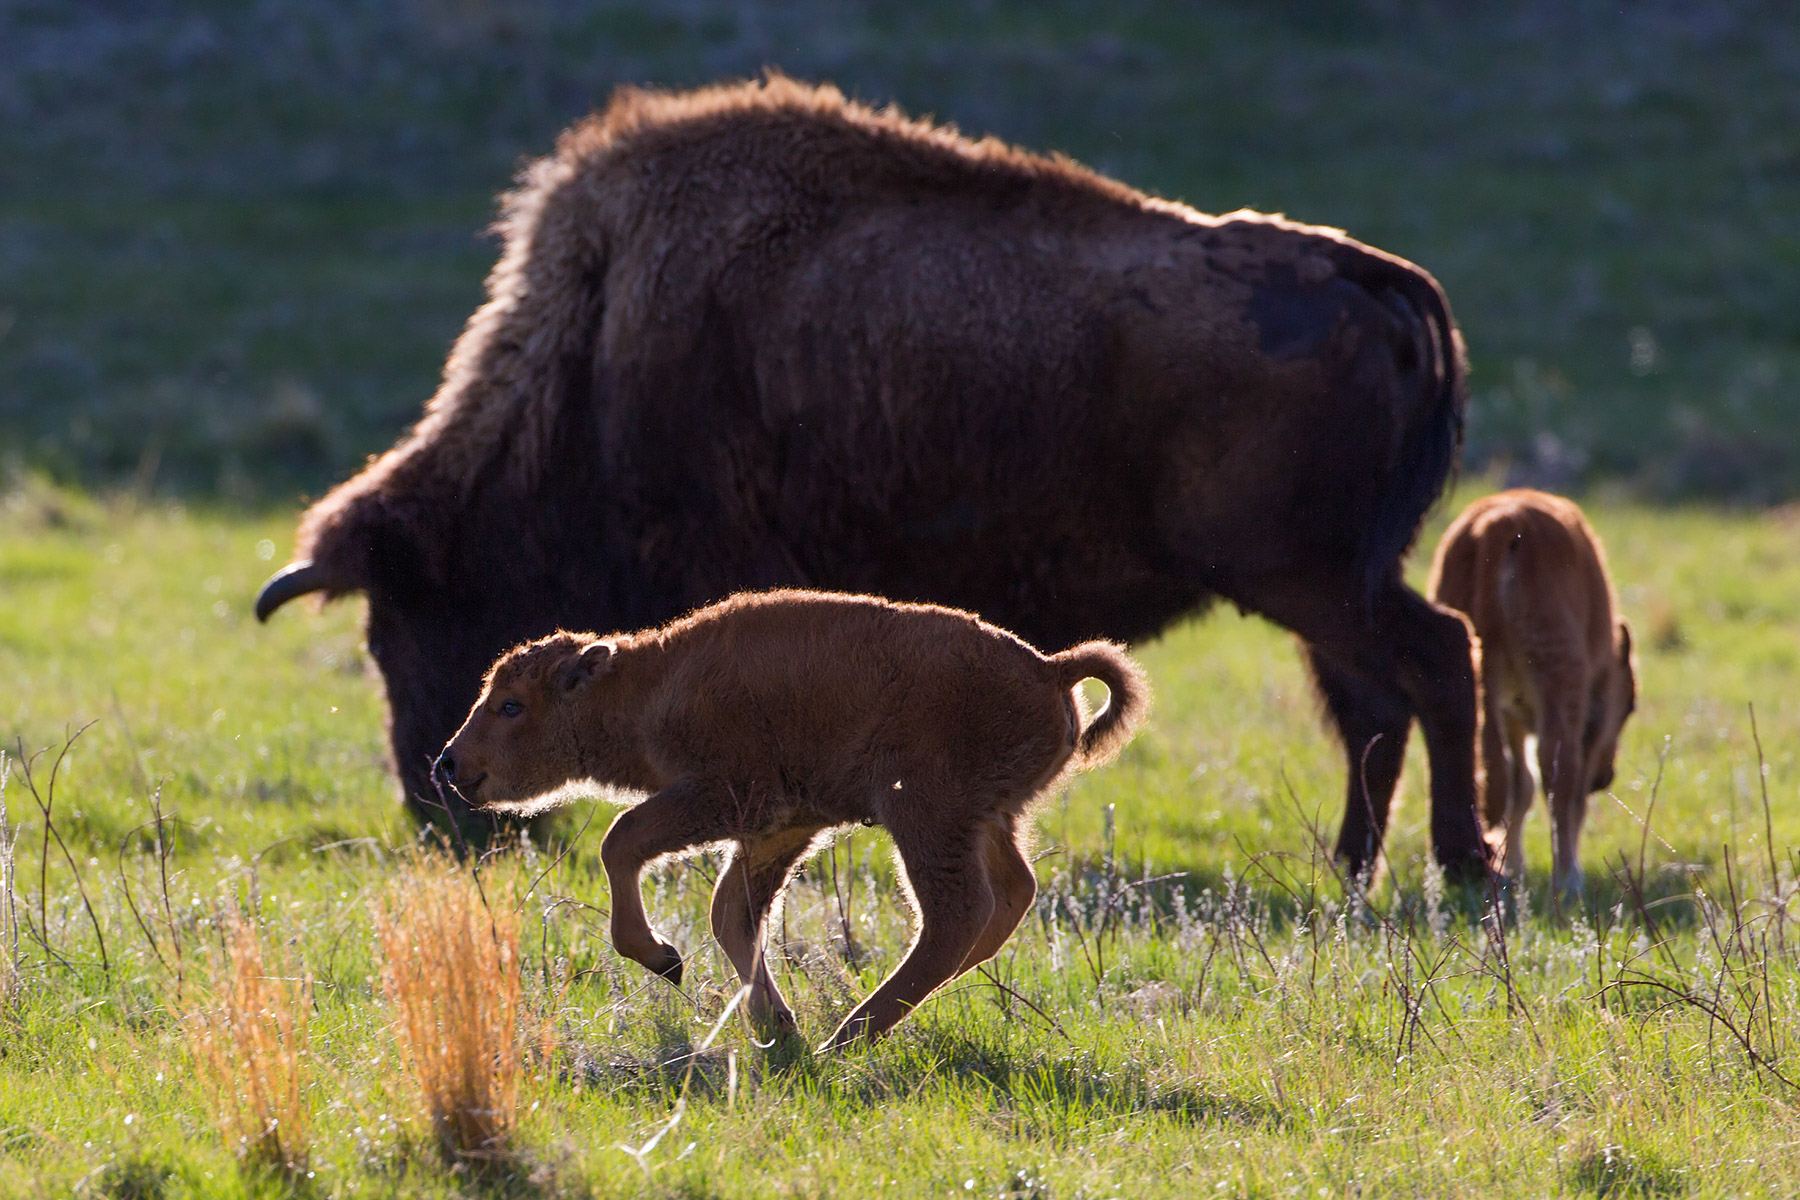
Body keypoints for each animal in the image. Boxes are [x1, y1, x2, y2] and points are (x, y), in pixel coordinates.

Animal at [258, 76, 1488, 878]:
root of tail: (1368, 276)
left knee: (1433, 662)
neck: (598, 349)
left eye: (411, 618)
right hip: (1323, 589)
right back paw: (1353, 867)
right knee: (1376, 703)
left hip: (1310, 580)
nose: (444, 803)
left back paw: (1464, 865)